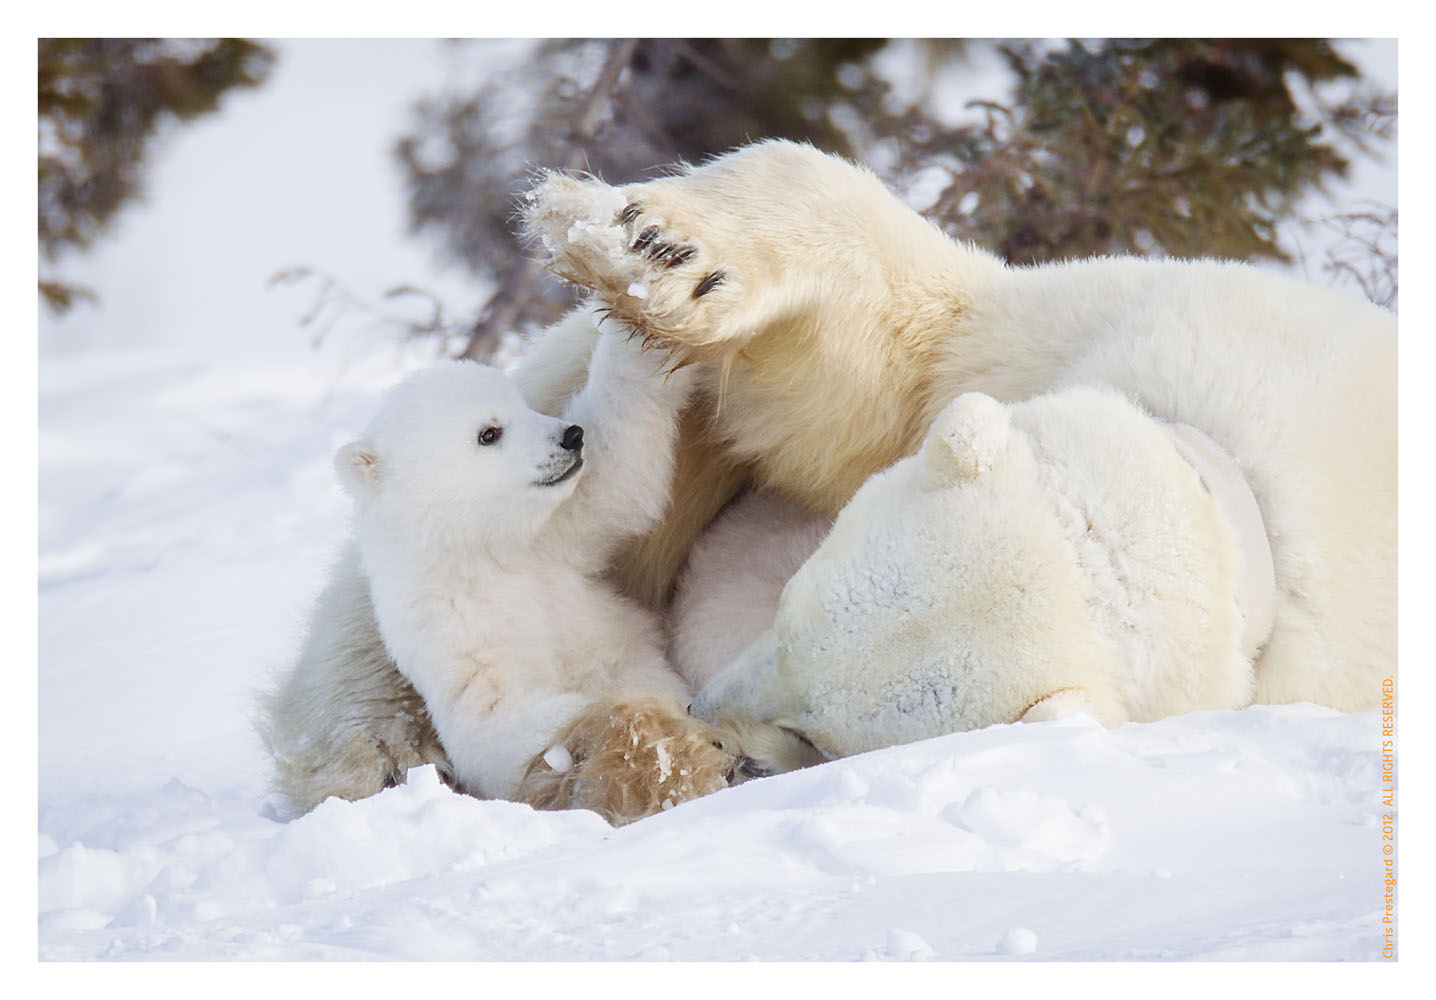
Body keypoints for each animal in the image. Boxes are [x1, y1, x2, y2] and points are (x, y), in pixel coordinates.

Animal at [264, 138, 1395, 810]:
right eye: (794, 600)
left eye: (820, 731)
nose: (715, 713)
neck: (1236, 490)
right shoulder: (1071, 332)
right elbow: (874, 367)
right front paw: (654, 246)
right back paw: (373, 744)